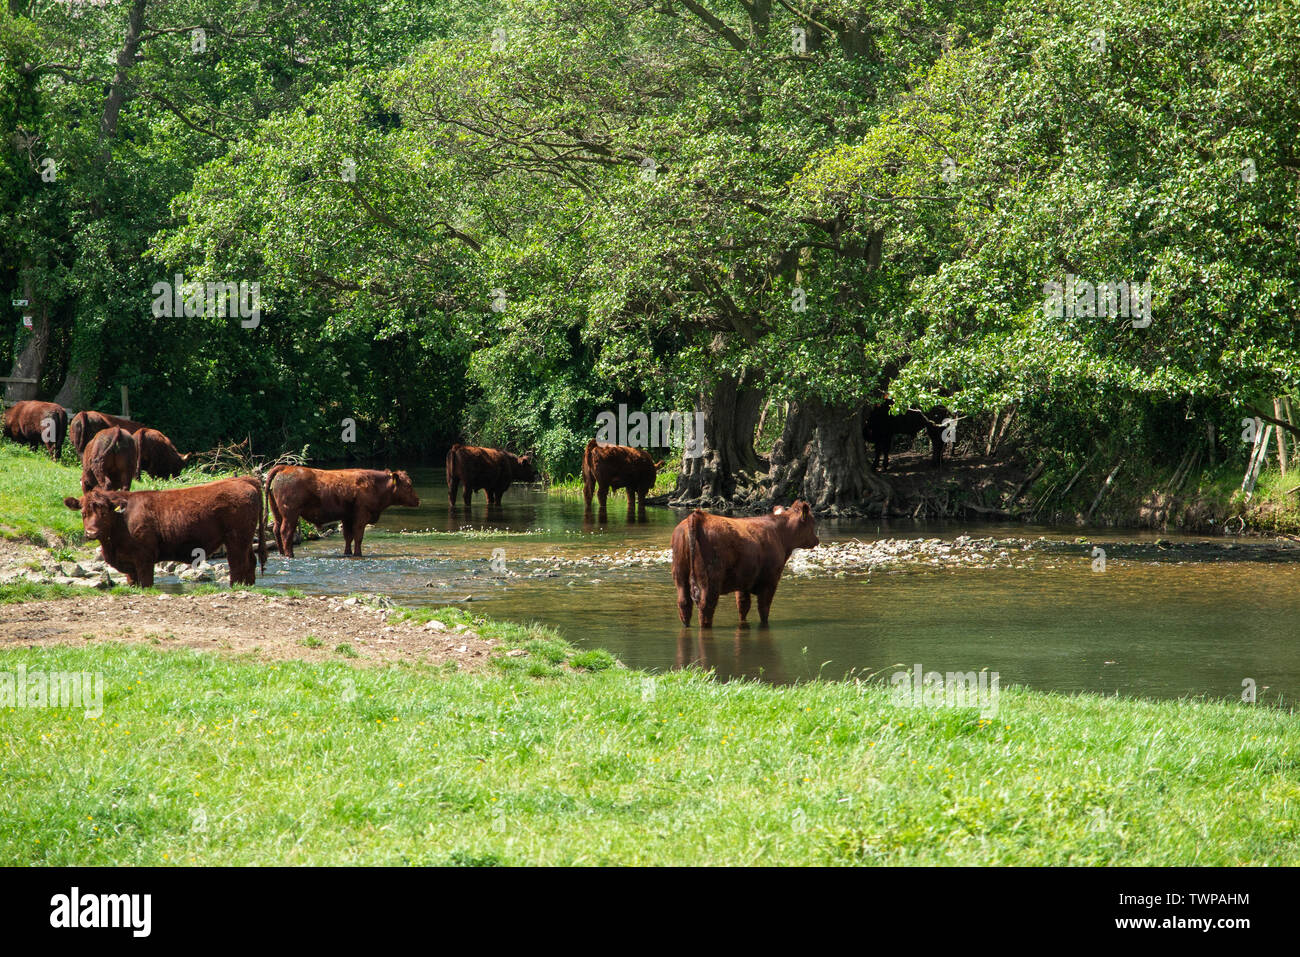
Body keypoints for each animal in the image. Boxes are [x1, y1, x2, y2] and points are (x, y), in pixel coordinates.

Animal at [64, 475, 269, 587]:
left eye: (105, 513)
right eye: (83, 513)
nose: (91, 533)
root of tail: (244, 480)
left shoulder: (144, 558)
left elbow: (146, 582)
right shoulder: (129, 563)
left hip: (236, 540)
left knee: (238, 564)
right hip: (244, 540)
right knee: (250, 562)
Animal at [266, 465, 418, 556]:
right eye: (408, 485)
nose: (418, 500)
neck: (374, 484)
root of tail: (286, 467)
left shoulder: (347, 517)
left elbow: (348, 536)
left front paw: (347, 553)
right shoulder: (361, 516)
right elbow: (358, 536)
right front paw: (358, 554)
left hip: (277, 513)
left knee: (276, 530)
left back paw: (281, 552)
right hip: (290, 514)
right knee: (286, 532)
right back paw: (289, 554)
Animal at [676, 501, 816, 629]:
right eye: (812, 522)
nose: (817, 540)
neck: (780, 535)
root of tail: (698, 516)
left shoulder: (743, 581)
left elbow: (743, 606)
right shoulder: (770, 580)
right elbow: (763, 608)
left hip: (680, 576)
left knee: (684, 604)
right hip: (710, 581)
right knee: (706, 608)